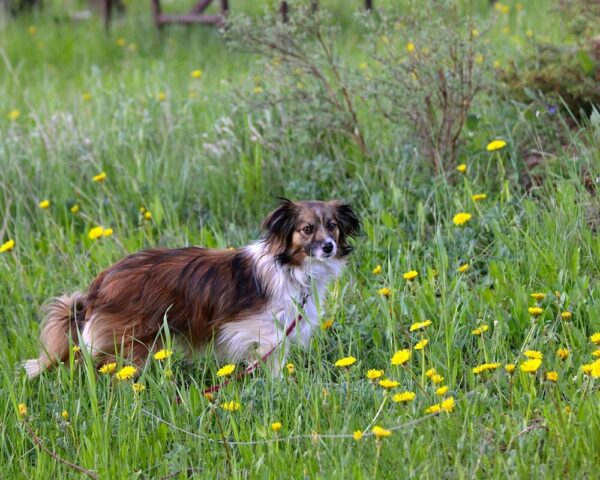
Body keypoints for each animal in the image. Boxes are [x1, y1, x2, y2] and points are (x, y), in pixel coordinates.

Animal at [23, 199, 358, 378]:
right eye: (307, 229)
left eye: (332, 226)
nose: (328, 247)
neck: (292, 268)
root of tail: (102, 282)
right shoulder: (262, 331)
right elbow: (270, 361)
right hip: (130, 341)